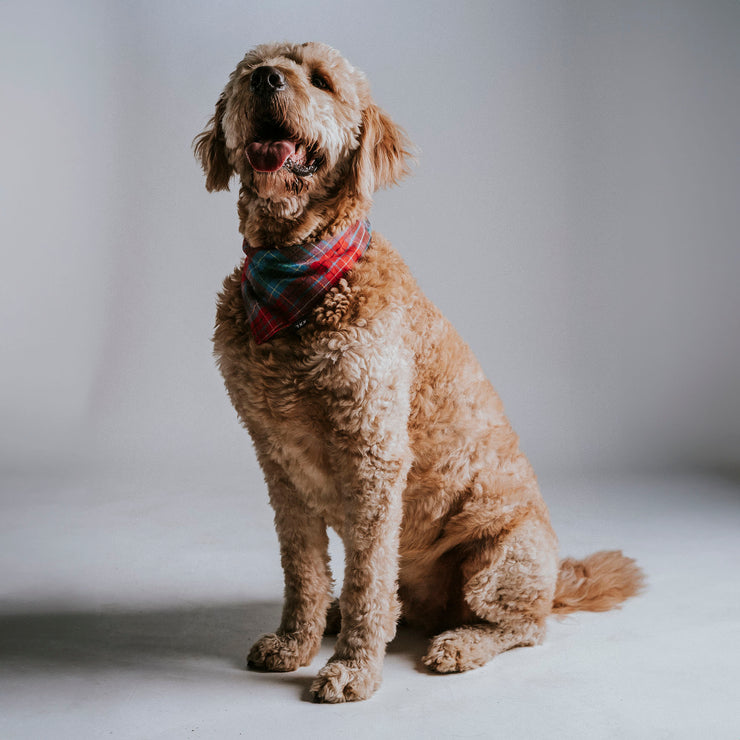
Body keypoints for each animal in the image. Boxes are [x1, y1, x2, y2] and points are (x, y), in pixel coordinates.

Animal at [195, 43, 640, 704]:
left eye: (321, 81)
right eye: (251, 71)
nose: (268, 79)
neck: (294, 272)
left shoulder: (373, 452)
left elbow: (367, 580)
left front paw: (352, 670)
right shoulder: (277, 460)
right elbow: (303, 569)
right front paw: (297, 642)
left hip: (500, 559)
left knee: (522, 626)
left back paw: (460, 643)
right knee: (399, 601)